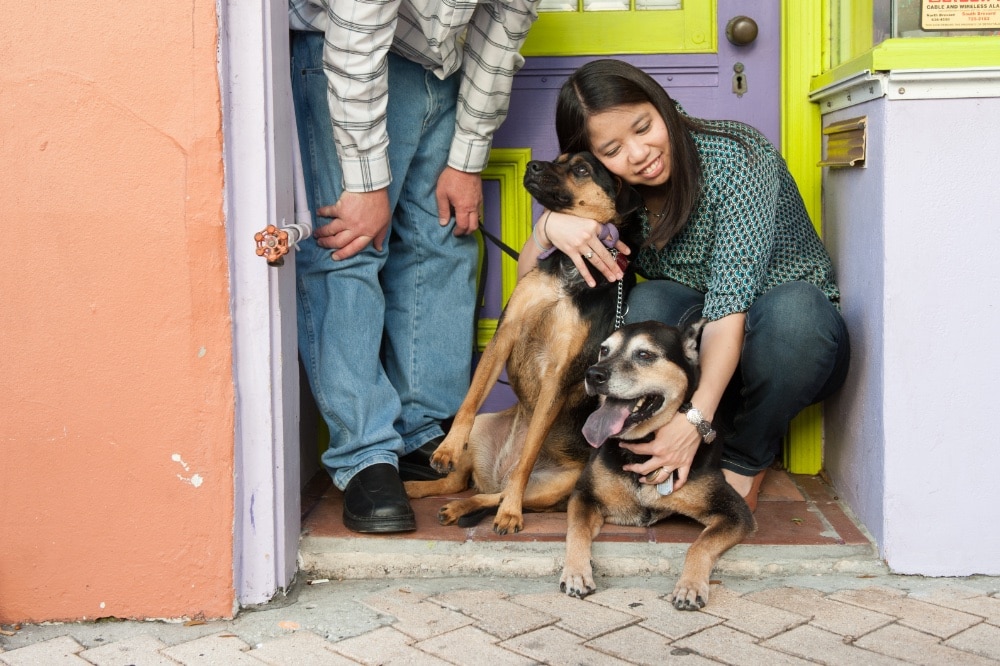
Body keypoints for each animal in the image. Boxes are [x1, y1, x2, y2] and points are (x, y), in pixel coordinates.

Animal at [404, 152, 640, 536]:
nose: (533, 167)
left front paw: (512, 512)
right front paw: (448, 448)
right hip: (483, 427)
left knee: (496, 491)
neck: (571, 269)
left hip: (561, 483)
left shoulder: (560, 374)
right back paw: (419, 488)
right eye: (559, 158)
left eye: (581, 169)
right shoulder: (505, 334)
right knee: (457, 481)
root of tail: (494, 474)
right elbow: (469, 402)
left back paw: (479, 506)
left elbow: (527, 457)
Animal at [564, 320, 756, 608]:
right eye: (604, 350)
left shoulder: (736, 513)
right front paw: (576, 573)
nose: (593, 374)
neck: (643, 446)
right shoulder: (584, 495)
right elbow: (576, 530)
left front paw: (690, 586)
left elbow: (701, 544)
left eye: (645, 354)